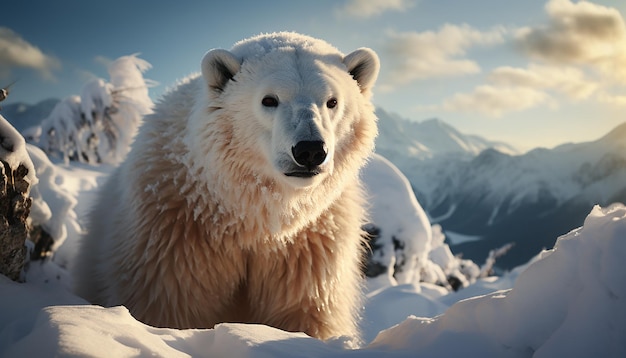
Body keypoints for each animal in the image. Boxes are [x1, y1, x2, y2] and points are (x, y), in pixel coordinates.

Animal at [70, 31, 378, 342]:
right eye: (269, 99)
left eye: (332, 101)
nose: (310, 150)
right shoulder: (175, 235)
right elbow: (169, 303)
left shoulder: (310, 245)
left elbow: (305, 309)